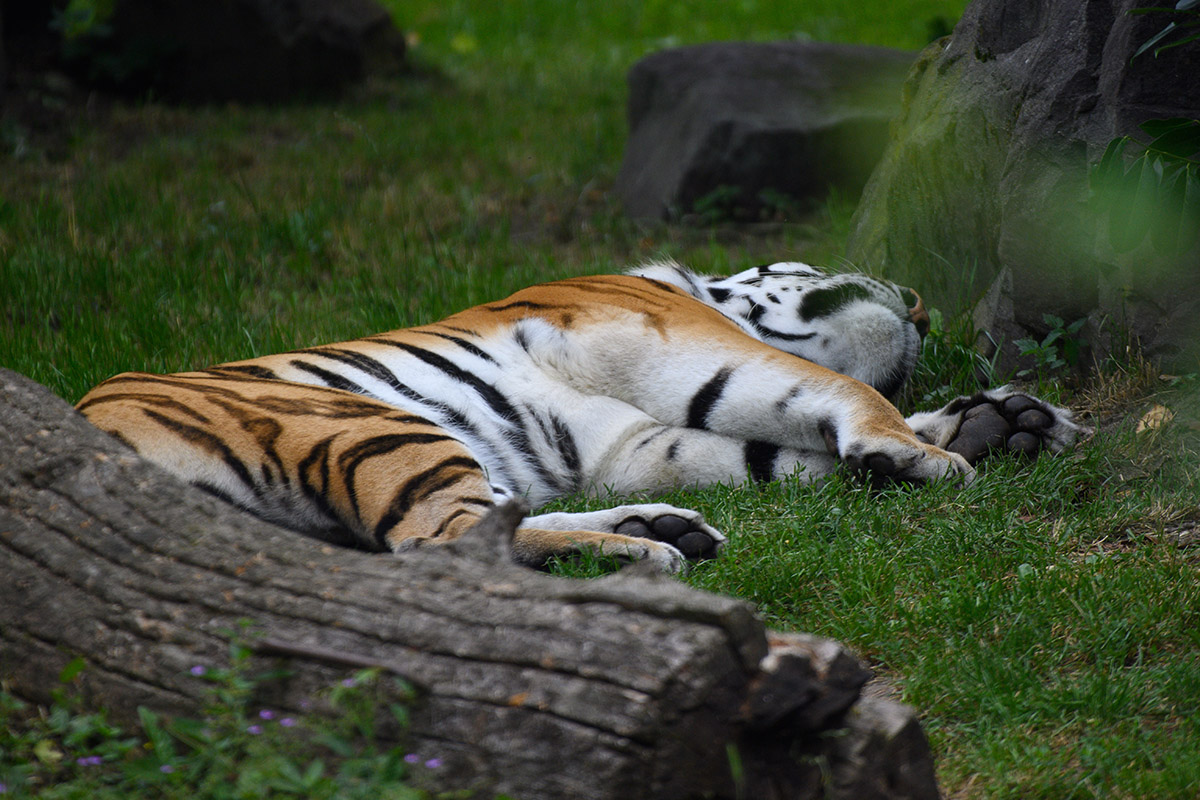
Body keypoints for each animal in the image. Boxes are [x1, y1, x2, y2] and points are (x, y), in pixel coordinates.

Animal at [79, 266, 1084, 573]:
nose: (921, 308)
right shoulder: (677, 337)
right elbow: (837, 394)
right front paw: (927, 455)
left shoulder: (636, 441)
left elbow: (779, 449)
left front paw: (1004, 423)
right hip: (364, 421)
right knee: (442, 546)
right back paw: (644, 555)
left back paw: (658, 532)